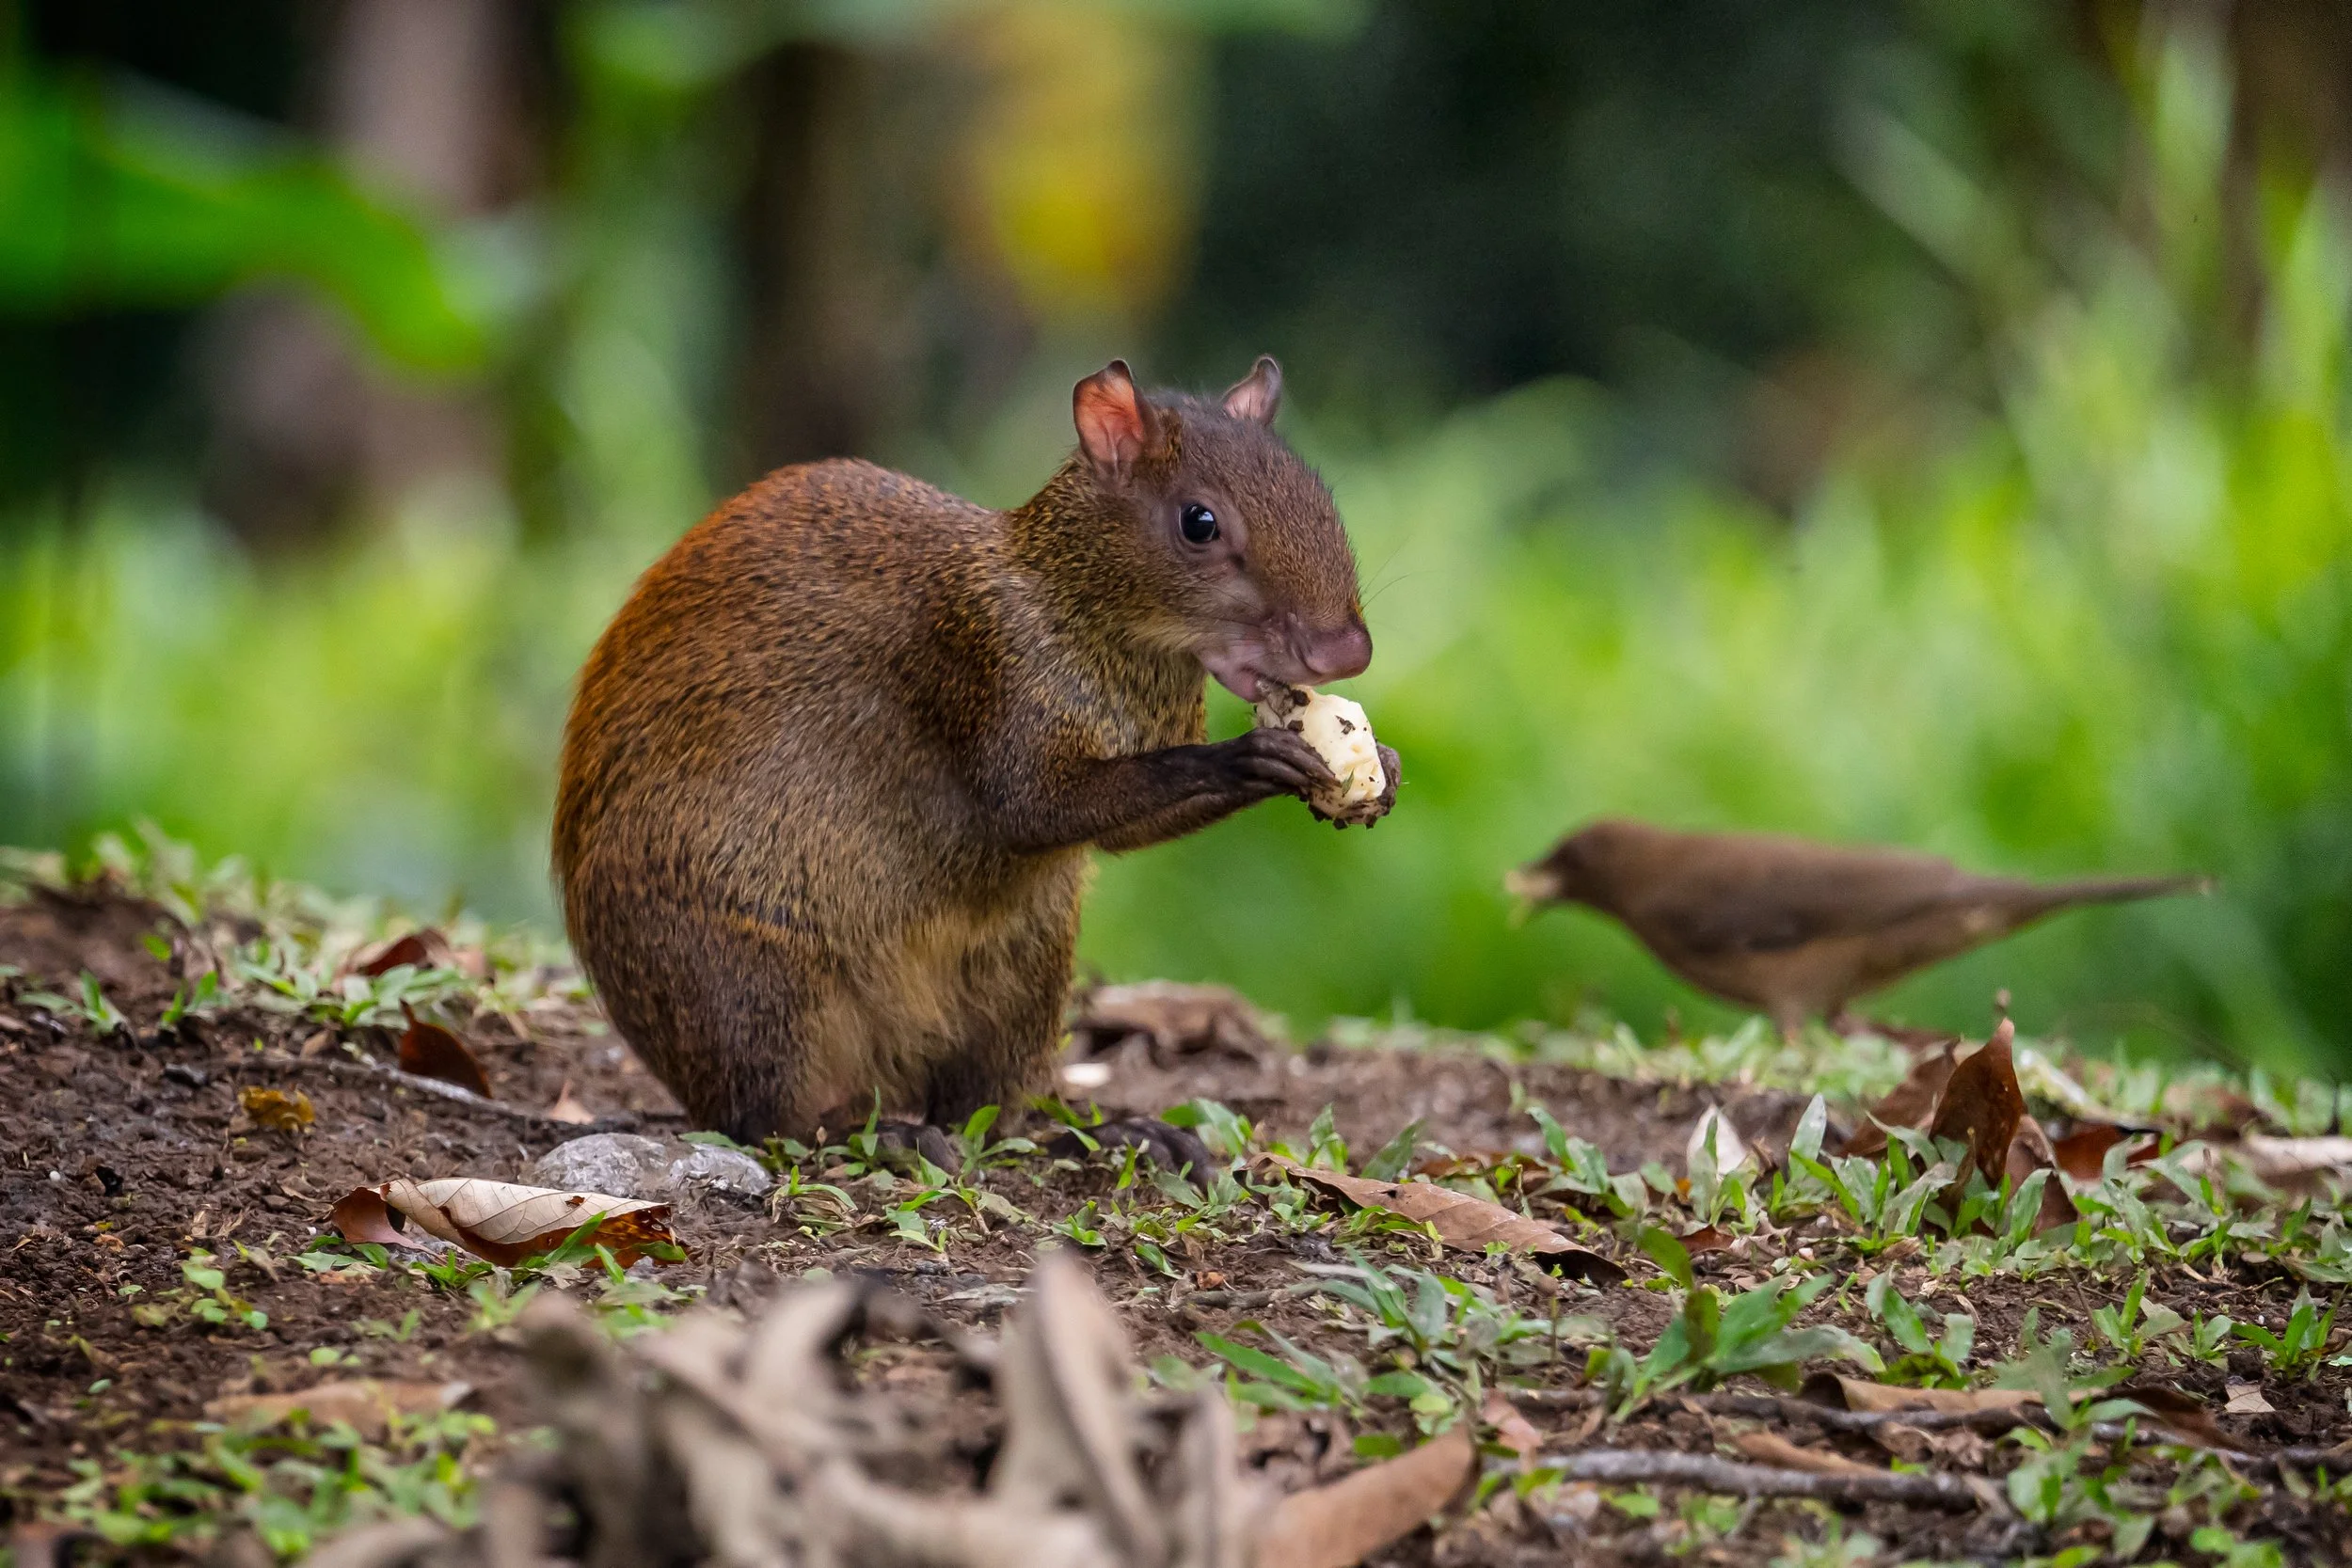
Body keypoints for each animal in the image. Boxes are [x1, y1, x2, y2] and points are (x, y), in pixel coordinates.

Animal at [552, 357, 1396, 1153]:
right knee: (768, 1121)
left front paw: (1378, 765)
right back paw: (882, 1136)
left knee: (983, 1119)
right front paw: (1247, 756)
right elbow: (1034, 807)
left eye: (1321, 498)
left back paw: (1111, 1134)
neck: (1077, 616)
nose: (1347, 650)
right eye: (1200, 522)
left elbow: (1128, 829)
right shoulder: (994, 684)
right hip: (756, 985)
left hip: (1024, 974)